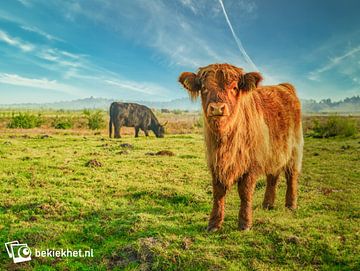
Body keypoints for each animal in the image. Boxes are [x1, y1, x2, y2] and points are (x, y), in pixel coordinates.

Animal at [179, 63, 302, 232]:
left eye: (235, 87)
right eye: (203, 87)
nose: (217, 108)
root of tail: (283, 86)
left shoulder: (251, 163)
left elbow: (245, 192)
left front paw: (245, 224)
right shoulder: (215, 163)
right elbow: (218, 192)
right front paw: (214, 224)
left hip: (294, 150)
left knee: (291, 176)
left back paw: (291, 205)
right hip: (274, 152)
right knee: (273, 176)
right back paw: (267, 204)